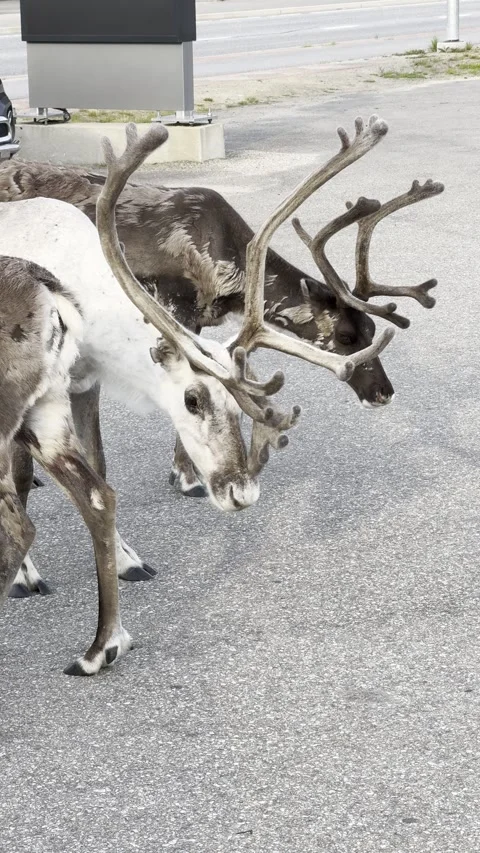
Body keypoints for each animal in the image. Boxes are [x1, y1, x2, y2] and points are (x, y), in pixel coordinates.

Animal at [0, 118, 395, 671]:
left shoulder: (82, 381)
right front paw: (25, 575)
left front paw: (128, 559)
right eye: (345, 335)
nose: (383, 392)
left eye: (245, 408)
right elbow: (21, 477)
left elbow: (98, 468)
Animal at [0, 119, 444, 503]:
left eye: (371, 329)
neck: (229, 268)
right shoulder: (178, 310)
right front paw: (187, 477)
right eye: (346, 336)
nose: (383, 393)